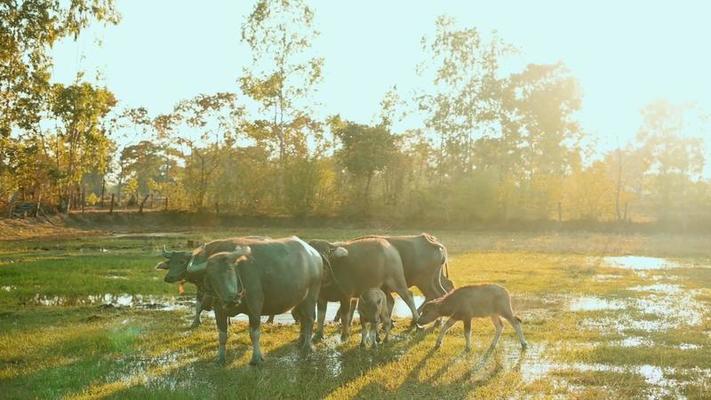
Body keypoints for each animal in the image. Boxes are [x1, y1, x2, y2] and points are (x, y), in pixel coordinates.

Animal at [199, 238, 324, 366]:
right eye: (212, 277)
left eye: (230, 270)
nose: (231, 299)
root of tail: (315, 255)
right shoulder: (219, 311)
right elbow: (222, 335)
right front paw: (220, 358)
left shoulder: (255, 307)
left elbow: (254, 333)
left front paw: (256, 358)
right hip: (301, 300)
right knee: (303, 318)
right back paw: (300, 342)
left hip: (311, 295)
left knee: (309, 319)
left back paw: (307, 346)